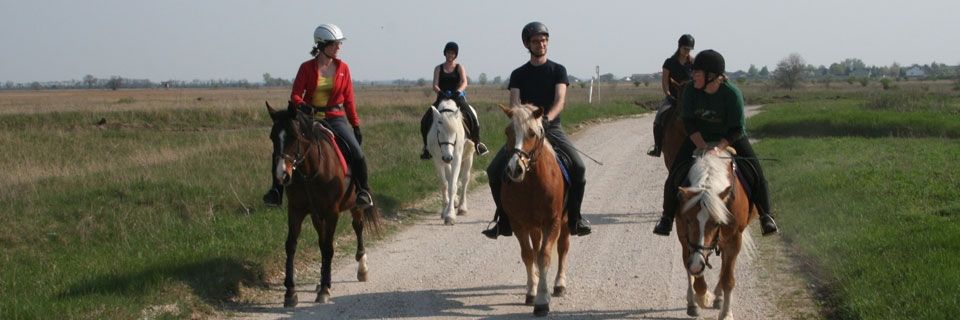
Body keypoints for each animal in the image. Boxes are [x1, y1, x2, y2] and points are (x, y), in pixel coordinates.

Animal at [266, 102, 382, 308]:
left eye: (294, 137)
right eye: (273, 137)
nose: (282, 175)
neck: (310, 171)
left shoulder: (331, 212)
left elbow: (328, 247)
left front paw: (325, 289)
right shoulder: (296, 210)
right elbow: (291, 245)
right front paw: (290, 292)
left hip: (354, 206)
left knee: (357, 228)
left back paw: (362, 269)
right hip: (316, 215)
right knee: (321, 239)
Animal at [496, 104, 568, 316]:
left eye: (532, 133)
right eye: (507, 132)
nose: (514, 169)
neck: (531, 183)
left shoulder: (552, 222)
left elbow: (544, 255)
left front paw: (542, 301)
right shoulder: (518, 224)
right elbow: (528, 254)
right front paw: (532, 291)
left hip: (565, 220)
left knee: (563, 247)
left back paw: (559, 284)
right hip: (534, 226)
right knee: (535, 248)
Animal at [676, 148, 756, 320]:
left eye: (716, 223)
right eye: (689, 220)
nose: (697, 263)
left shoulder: (734, 240)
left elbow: (728, 279)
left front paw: (726, 313)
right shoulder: (685, 238)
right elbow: (692, 271)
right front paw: (702, 297)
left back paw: (719, 297)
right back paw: (694, 303)